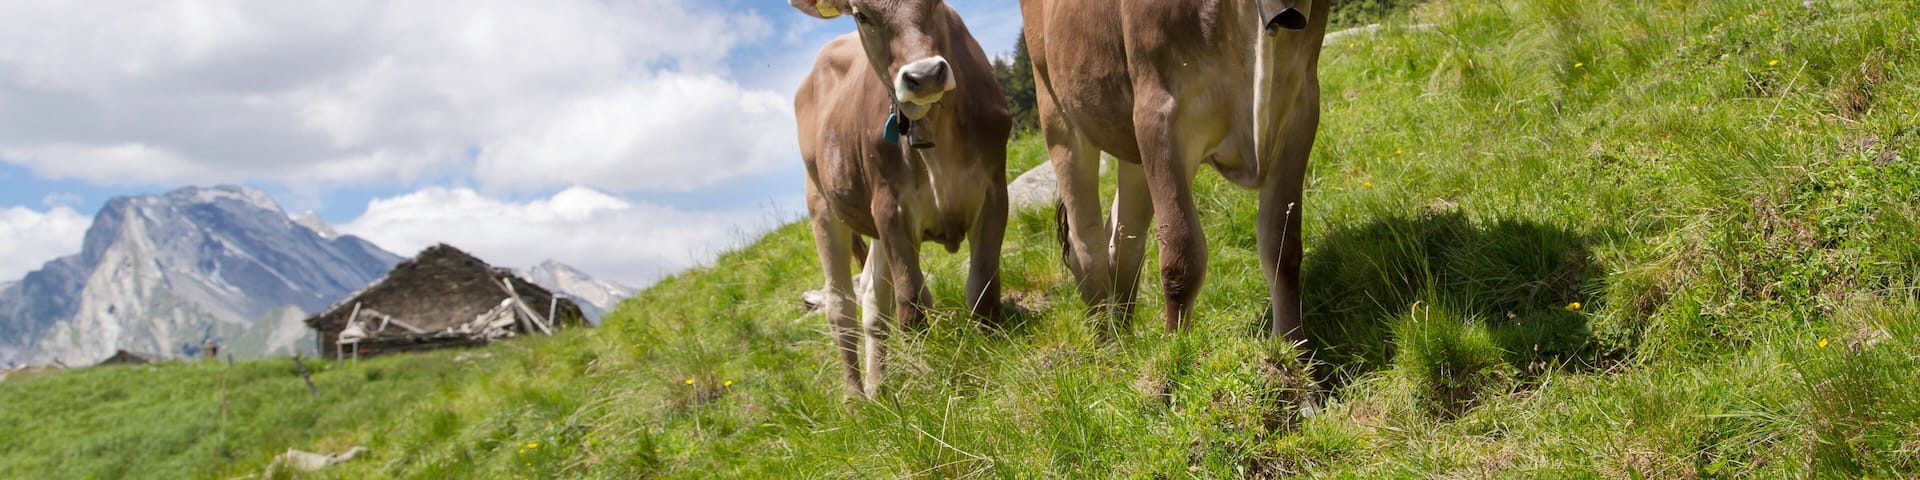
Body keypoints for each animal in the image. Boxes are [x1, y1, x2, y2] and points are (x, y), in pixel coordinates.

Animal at [791, 0, 1012, 399]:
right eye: (861, 14)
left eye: (937, 2)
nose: (924, 75)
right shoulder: (890, 207)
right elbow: (911, 301)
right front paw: (927, 373)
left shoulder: (993, 191)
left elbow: (983, 285)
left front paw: (992, 349)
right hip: (820, 202)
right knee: (840, 304)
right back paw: (854, 397)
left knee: (872, 299)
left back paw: (877, 388)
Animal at [1021, 0, 1329, 341]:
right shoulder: (1159, 112)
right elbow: (1182, 255)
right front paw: (1177, 348)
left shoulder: (1302, 102)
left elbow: (1282, 244)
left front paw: (1292, 344)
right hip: (1057, 115)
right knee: (1085, 245)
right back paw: (1103, 341)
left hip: (1129, 141)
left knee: (1123, 239)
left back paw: (1123, 338)